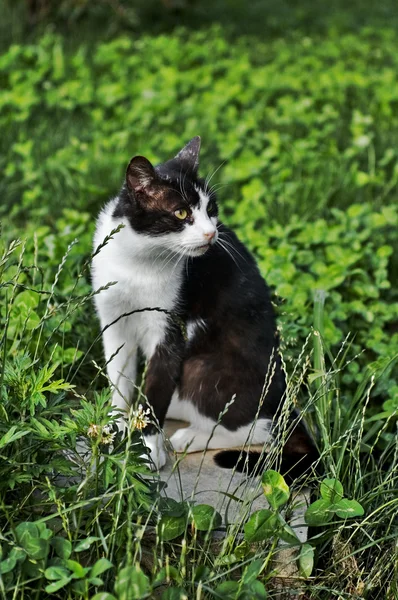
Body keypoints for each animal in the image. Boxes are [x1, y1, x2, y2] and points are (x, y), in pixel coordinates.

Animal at [91, 136, 318, 478]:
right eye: (181, 212)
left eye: (211, 210)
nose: (211, 232)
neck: (139, 262)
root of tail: (286, 404)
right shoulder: (113, 320)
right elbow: (119, 378)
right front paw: (114, 426)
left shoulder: (170, 327)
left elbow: (156, 390)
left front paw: (149, 450)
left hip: (205, 368)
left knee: (262, 428)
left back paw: (189, 437)